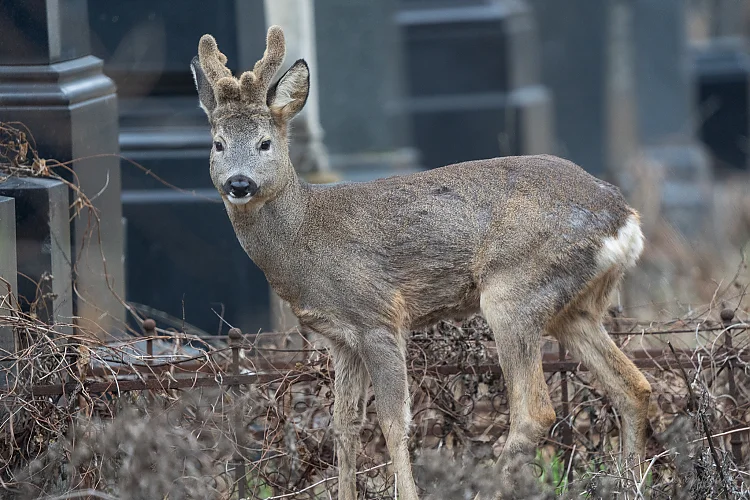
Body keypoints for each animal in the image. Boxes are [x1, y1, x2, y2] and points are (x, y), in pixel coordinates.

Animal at [191, 25, 652, 500]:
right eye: (218, 144)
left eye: (264, 143)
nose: (239, 183)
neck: (304, 237)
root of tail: (625, 219)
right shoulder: (340, 339)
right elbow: (344, 424)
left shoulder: (378, 316)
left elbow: (394, 422)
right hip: (574, 308)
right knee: (633, 386)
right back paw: (630, 482)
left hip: (514, 291)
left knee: (535, 412)